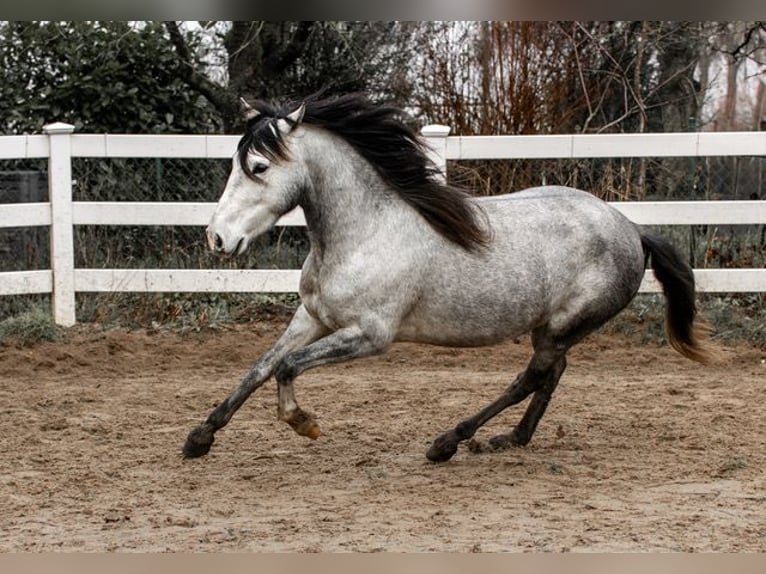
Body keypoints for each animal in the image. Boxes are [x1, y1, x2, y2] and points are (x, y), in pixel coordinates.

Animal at [183, 93, 716, 464]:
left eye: (258, 166)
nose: (217, 237)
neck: (367, 231)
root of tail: (632, 229)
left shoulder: (369, 336)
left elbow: (289, 367)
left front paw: (303, 423)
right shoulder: (313, 317)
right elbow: (262, 366)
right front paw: (199, 438)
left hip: (566, 325)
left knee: (531, 377)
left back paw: (448, 443)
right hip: (550, 327)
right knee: (551, 375)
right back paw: (509, 439)